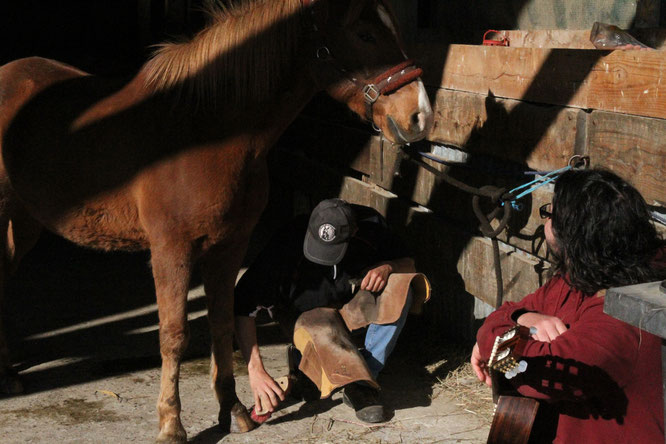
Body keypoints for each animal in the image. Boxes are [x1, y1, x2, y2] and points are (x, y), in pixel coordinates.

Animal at [0, 0, 430, 440]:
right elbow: (174, 334)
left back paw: (9, 373)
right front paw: (172, 424)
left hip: (25, 220)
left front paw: (234, 408)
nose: (420, 116)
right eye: (365, 34)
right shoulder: (171, 250)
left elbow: (223, 322)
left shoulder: (229, 245)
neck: (206, 132)